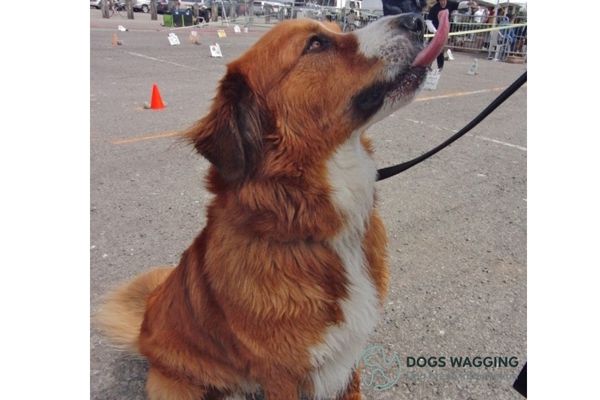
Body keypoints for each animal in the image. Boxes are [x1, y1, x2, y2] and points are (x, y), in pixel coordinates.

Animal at [96, 10, 448, 398]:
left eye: (337, 29)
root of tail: (145, 326)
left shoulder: (348, 358)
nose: (418, 19)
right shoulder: (284, 375)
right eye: (315, 44)